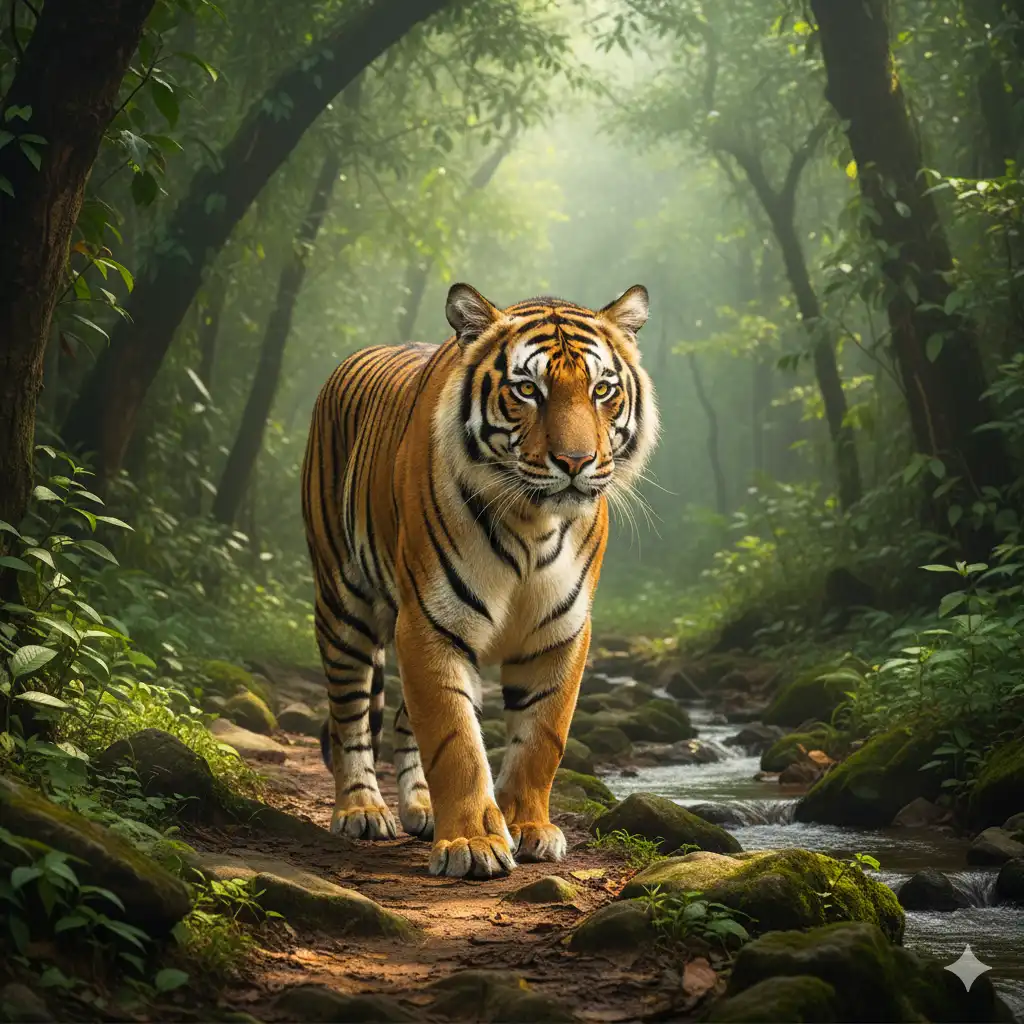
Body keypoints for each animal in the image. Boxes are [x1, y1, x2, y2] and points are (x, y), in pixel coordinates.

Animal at [301, 282, 658, 879]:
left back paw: (422, 809)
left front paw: (528, 828)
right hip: (343, 600)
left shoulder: (561, 632)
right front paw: (472, 843)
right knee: (349, 713)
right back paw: (362, 810)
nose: (576, 461)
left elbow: (541, 739)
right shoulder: (431, 623)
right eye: (527, 389)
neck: (533, 524)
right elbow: (456, 742)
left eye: (602, 389)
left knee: (402, 719)